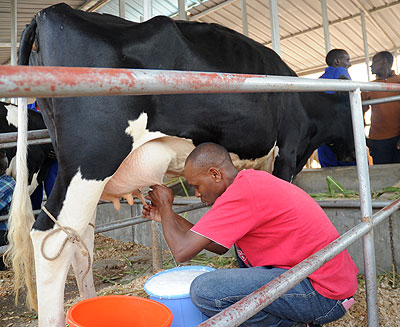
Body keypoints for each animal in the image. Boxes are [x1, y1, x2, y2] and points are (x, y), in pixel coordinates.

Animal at [7, 3, 354, 327]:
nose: (351, 156)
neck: (305, 103)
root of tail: (51, 12)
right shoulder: (288, 152)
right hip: (91, 159)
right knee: (52, 237)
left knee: (80, 238)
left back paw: (89, 303)